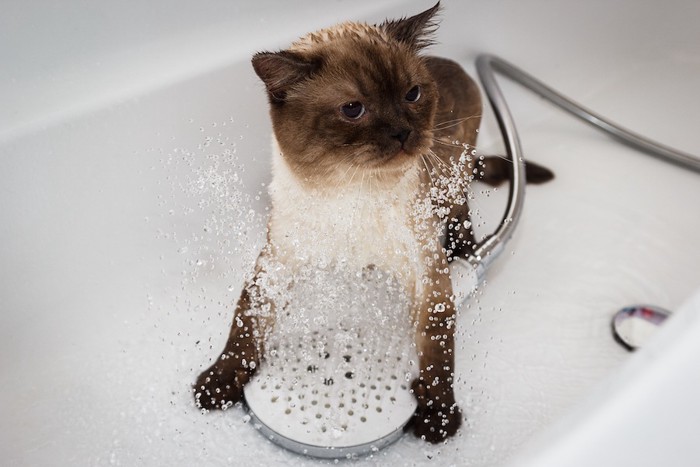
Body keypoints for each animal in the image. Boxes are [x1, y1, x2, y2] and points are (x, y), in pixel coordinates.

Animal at [194, 1, 556, 444]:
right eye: (353, 109)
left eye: (412, 94)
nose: (403, 132)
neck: (350, 190)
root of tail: (453, 64)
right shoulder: (276, 263)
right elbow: (244, 328)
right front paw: (215, 386)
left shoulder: (427, 275)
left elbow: (438, 350)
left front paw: (437, 418)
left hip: (451, 174)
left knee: (460, 209)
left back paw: (464, 248)